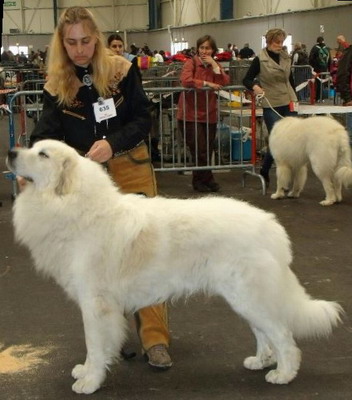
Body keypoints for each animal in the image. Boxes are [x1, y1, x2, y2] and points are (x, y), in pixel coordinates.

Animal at [6, 140, 344, 394]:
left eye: (42, 154)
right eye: (33, 147)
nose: (10, 152)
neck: (73, 205)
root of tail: (271, 226)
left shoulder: (96, 304)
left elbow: (95, 344)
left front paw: (90, 382)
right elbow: (94, 346)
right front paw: (85, 371)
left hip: (250, 296)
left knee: (283, 336)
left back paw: (283, 374)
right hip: (244, 299)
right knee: (265, 334)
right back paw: (260, 361)